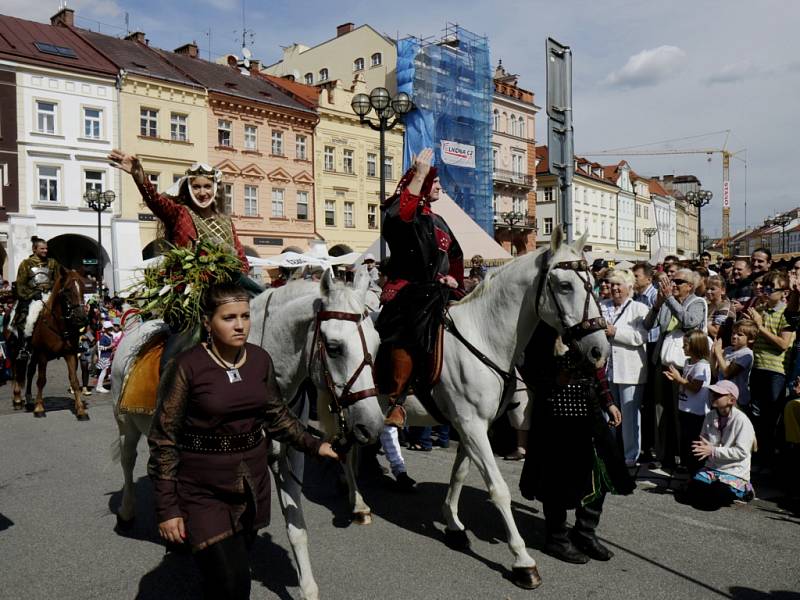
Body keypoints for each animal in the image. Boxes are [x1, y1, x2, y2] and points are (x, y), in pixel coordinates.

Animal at [9, 270, 88, 420]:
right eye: (67, 290)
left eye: (83, 288)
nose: (81, 318)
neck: (58, 325)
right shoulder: (42, 355)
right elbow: (41, 380)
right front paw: (39, 408)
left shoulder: (70, 354)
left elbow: (74, 381)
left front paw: (81, 410)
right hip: (15, 350)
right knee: (16, 371)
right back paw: (17, 399)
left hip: (33, 355)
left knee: (30, 372)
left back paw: (29, 400)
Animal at [340, 230, 608, 592]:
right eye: (565, 286)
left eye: (592, 283)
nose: (599, 349)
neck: (484, 336)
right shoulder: (472, 425)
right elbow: (498, 489)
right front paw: (523, 561)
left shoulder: (470, 424)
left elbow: (460, 474)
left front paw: (454, 526)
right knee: (344, 450)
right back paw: (357, 504)